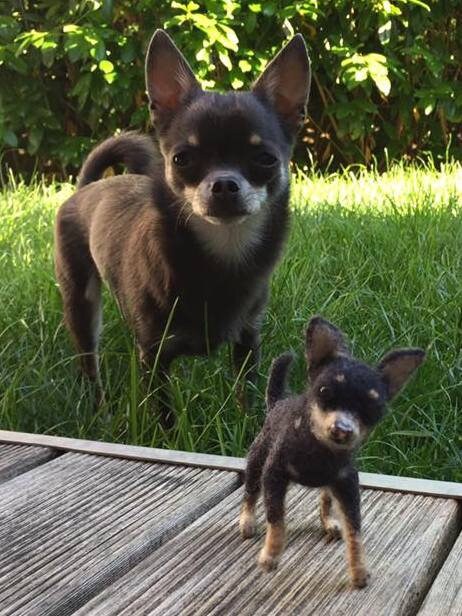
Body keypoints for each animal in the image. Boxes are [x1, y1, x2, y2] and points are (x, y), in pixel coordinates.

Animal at [56, 31, 312, 426]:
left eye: (265, 159)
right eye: (182, 159)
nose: (224, 184)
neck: (222, 254)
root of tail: (87, 187)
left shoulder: (247, 341)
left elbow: (247, 394)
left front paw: (249, 426)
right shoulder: (155, 355)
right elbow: (164, 412)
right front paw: (166, 433)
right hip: (80, 303)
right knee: (89, 364)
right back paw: (100, 412)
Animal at [242, 316, 426, 588]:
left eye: (375, 409)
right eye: (324, 392)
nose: (343, 429)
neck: (320, 451)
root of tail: (279, 401)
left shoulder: (346, 484)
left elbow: (354, 530)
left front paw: (358, 569)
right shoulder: (274, 475)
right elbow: (277, 519)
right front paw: (271, 555)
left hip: (329, 485)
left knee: (325, 500)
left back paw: (329, 522)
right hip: (257, 459)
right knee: (250, 492)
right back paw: (247, 521)